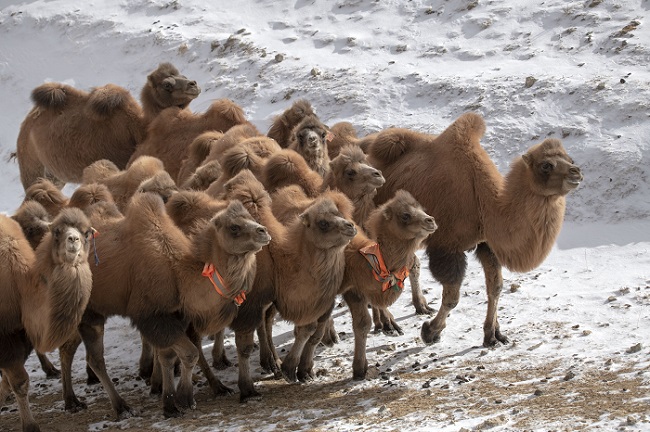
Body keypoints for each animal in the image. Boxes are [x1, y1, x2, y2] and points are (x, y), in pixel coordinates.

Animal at [14, 62, 197, 189]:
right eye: (167, 85)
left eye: (183, 75)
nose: (193, 84)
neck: (141, 129)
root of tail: (26, 125)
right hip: (31, 167)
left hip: (54, 177)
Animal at [57, 193, 268, 418]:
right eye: (234, 227)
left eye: (250, 217)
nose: (263, 231)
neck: (178, 274)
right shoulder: (153, 316)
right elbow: (190, 353)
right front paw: (182, 400)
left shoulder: (176, 316)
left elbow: (167, 356)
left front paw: (171, 401)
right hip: (88, 313)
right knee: (94, 358)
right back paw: (119, 407)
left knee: (68, 349)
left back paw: (73, 401)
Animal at [364, 112, 584, 348]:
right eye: (546, 165)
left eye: (570, 159)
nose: (576, 172)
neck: (484, 201)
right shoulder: (448, 247)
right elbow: (452, 297)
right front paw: (430, 332)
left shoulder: (486, 244)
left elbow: (495, 288)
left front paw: (494, 335)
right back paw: (387, 324)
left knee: (408, 263)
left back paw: (418, 307)